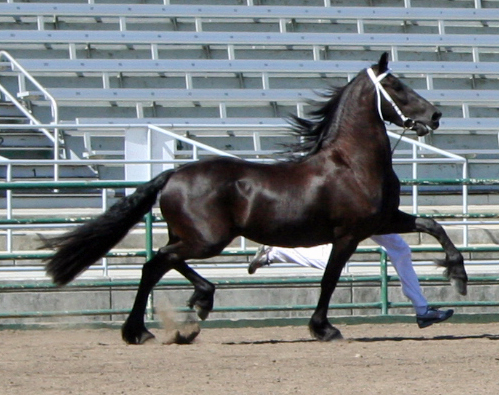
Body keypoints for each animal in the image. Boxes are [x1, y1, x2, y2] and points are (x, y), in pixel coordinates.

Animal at [44, 54, 468, 344]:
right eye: (396, 86)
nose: (435, 115)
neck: (352, 162)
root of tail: (173, 174)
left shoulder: (384, 220)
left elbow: (433, 225)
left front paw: (456, 280)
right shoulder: (348, 234)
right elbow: (329, 279)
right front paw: (323, 328)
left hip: (193, 236)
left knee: (161, 263)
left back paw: (184, 310)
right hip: (208, 239)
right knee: (156, 263)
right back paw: (156, 323)